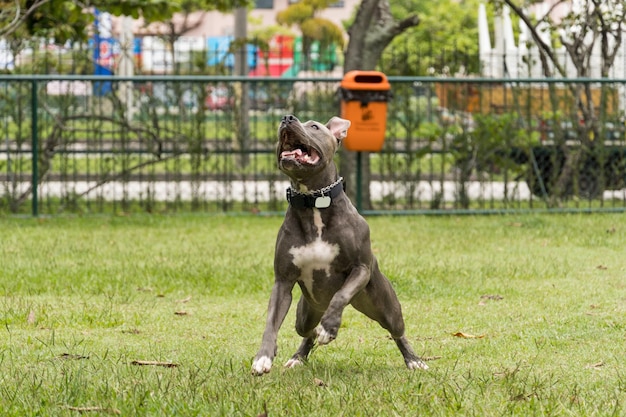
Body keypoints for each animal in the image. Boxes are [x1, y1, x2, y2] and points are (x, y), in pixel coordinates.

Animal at [251, 113, 426, 374]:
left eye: (314, 126)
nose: (287, 118)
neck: (313, 203)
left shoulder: (360, 268)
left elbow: (341, 295)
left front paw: (329, 327)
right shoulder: (282, 281)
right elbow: (271, 321)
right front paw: (263, 356)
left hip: (385, 306)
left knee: (397, 331)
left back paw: (413, 359)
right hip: (307, 311)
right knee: (305, 330)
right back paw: (299, 355)